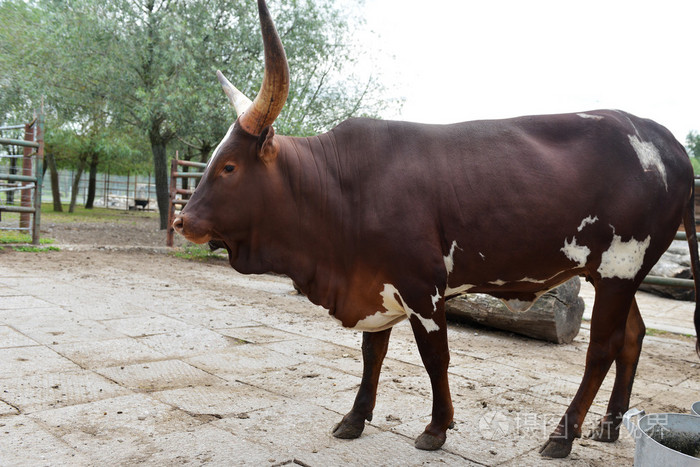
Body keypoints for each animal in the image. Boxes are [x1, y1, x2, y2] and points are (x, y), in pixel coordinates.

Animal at [174, 0, 700, 458]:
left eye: (229, 167)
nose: (183, 221)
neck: (343, 188)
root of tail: (668, 142)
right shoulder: (377, 282)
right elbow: (372, 352)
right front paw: (354, 418)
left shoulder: (422, 287)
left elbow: (435, 356)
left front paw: (436, 427)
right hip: (615, 274)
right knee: (632, 336)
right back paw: (607, 426)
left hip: (618, 269)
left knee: (601, 349)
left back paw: (562, 436)